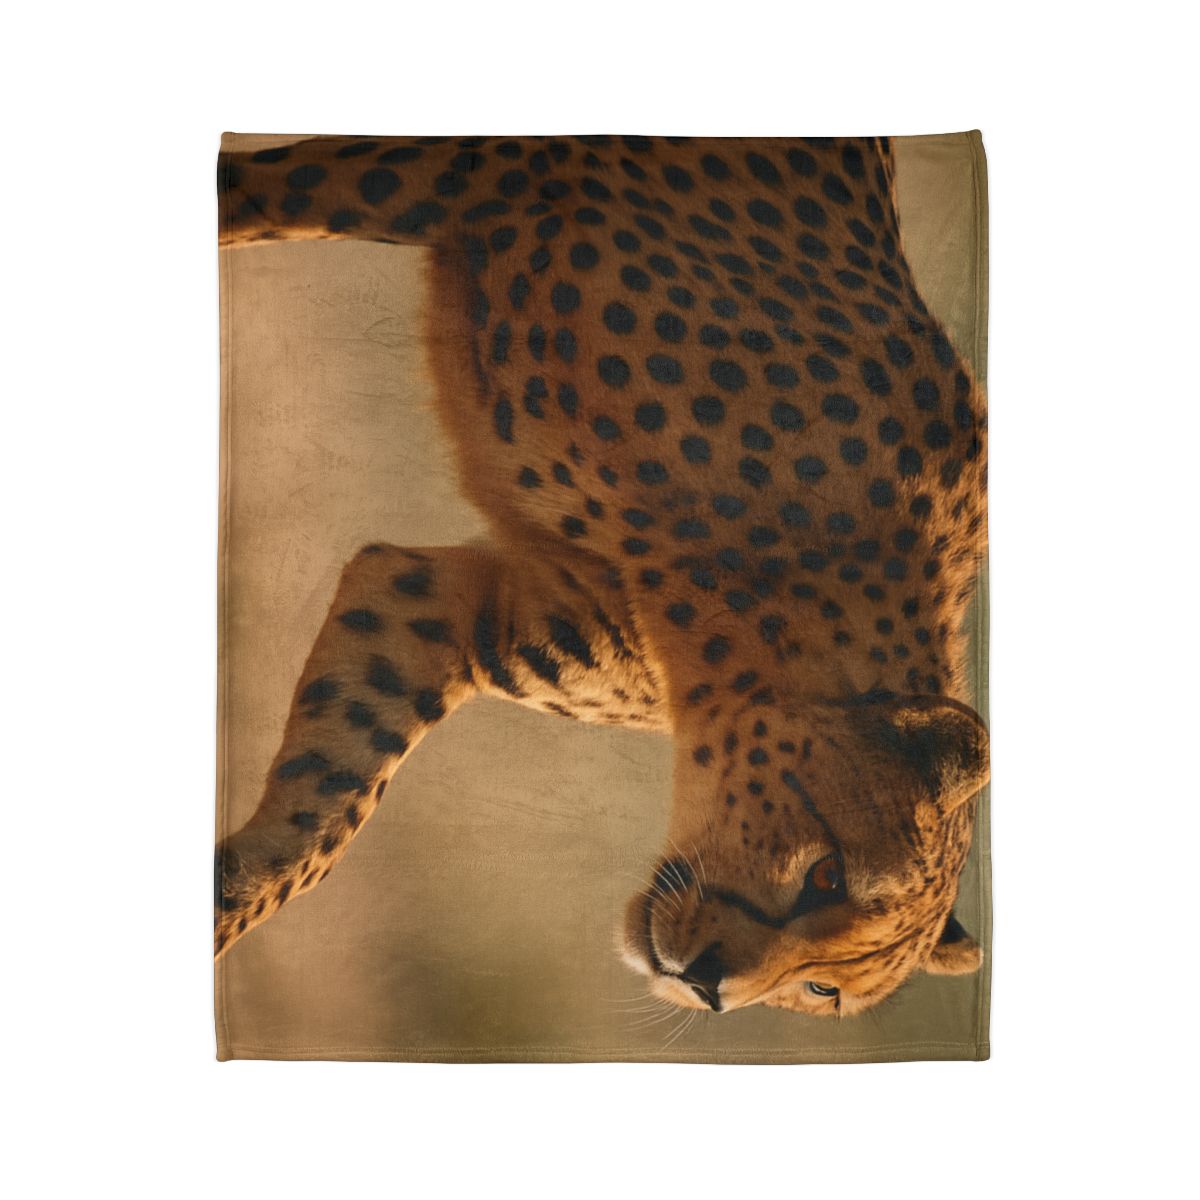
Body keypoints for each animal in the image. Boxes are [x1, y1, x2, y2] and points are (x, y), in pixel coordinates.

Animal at [215, 133, 989, 1018]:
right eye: (827, 875)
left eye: (822, 986)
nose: (707, 985)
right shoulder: (487, 165)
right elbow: (262, 193)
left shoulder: (450, 610)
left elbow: (326, 808)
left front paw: (225, 902)